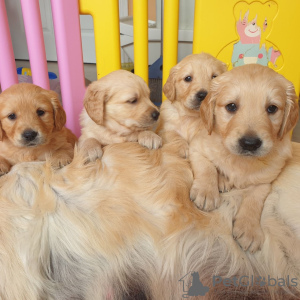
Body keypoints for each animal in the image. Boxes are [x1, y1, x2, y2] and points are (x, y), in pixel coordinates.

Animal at [189, 63, 298, 253]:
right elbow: (207, 167)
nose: (250, 143)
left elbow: (255, 198)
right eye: (231, 106)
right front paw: (206, 192)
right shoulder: (197, 147)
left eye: (272, 108)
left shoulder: (266, 178)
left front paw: (249, 229)